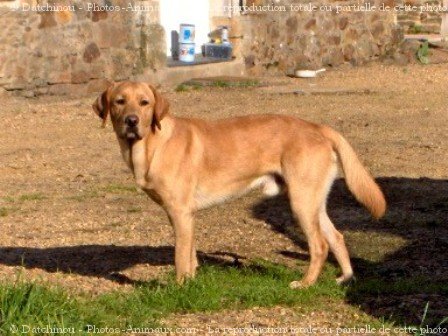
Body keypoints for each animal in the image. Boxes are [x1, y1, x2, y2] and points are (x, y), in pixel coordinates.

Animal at [93, 81, 386, 288]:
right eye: (120, 101)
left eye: (144, 102)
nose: (132, 121)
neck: (150, 146)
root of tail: (318, 127)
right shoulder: (184, 215)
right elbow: (190, 254)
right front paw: (192, 281)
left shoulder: (180, 212)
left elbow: (180, 257)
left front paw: (179, 287)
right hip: (313, 201)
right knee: (336, 236)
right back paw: (345, 278)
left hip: (301, 202)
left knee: (319, 246)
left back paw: (305, 284)